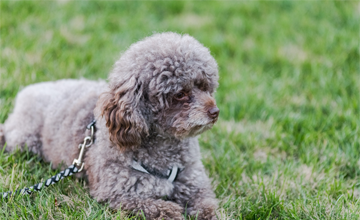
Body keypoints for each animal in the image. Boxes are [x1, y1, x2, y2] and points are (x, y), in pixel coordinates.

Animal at [0, 31, 221, 219]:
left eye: (204, 87)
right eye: (180, 94)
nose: (215, 112)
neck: (165, 148)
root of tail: (29, 90)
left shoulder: (194, 183)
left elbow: (207, 203)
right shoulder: (118, 193)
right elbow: (153, 206)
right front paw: (172, 210)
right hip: (24, 139)